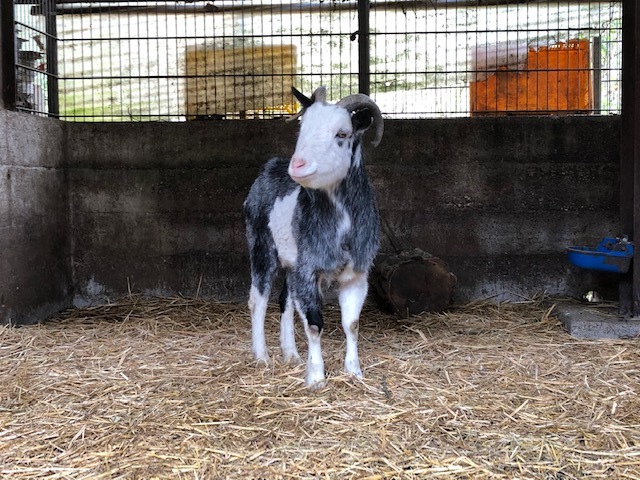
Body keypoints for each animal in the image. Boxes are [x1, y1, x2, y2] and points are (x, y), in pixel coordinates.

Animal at [244, 85, 384, 386]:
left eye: (342, 133)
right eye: (302, 129)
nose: (297, 165)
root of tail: (270, 167)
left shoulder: (356, 274)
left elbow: (351, 324)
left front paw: (354, 371)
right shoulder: (308, 269)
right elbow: (314, 324)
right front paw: (317, 377)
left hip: (291, 261)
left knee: (285, 300)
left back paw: (291, 354)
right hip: (260, 244)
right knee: (258, 299)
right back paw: (262, 357)